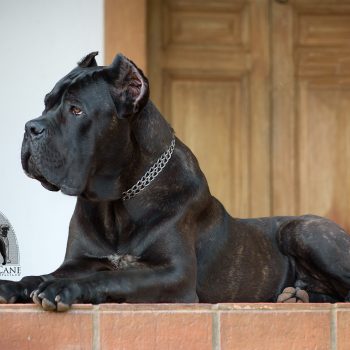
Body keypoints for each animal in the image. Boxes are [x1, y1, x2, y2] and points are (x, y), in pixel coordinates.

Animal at [0, 52, 350, 312]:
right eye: (46, 102)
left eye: (76, 110)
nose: (31, 127)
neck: (118, 200)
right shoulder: (79, 261)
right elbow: (41, 275)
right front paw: (16, 285)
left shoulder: (175, 275)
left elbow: (115, 278)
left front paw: (64, 288)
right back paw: (297, 295)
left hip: (302, 230)